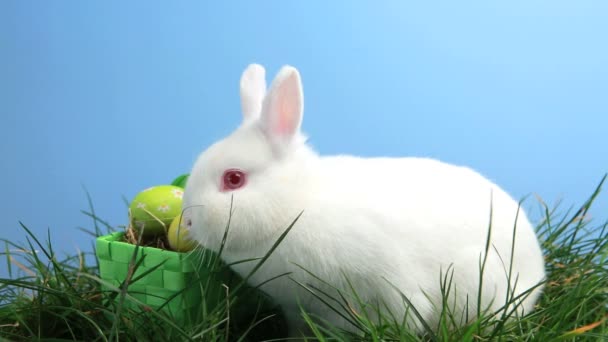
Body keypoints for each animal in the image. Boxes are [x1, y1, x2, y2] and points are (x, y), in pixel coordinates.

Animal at [182, 63, 548, 336]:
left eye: (234, 179)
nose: (187, 222)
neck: (297, 205)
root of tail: (538, 273)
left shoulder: (389, 290)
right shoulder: (296, 308)